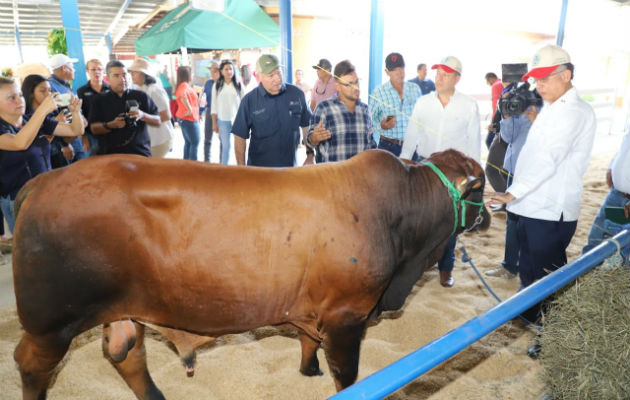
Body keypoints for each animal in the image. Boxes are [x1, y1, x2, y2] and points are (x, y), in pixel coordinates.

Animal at [12, 148, 492, 398]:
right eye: (482, 185)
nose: (489, 215)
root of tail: (41, 181)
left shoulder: (313, 310)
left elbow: (307, 341)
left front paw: (307, 370)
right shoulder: (348, 315)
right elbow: (348, 373)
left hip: (122, 309)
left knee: (126, 354)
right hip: (51, 323)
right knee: (31, 364)